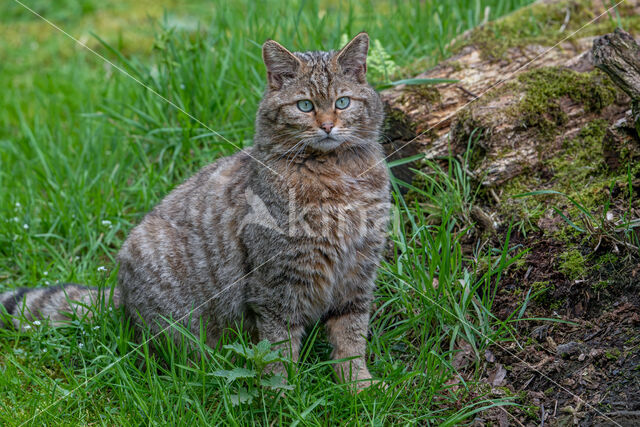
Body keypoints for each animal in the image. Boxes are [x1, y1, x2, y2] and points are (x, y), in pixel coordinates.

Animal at [1, 31, 390, 390]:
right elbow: (278, 348)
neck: (334, 176)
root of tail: (121, 296)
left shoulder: (357, 275)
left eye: (342, 102)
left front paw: (359, 387)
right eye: (305, 106)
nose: (327, 125)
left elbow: (351, 338)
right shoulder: (275, 283)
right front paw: (284, 396)